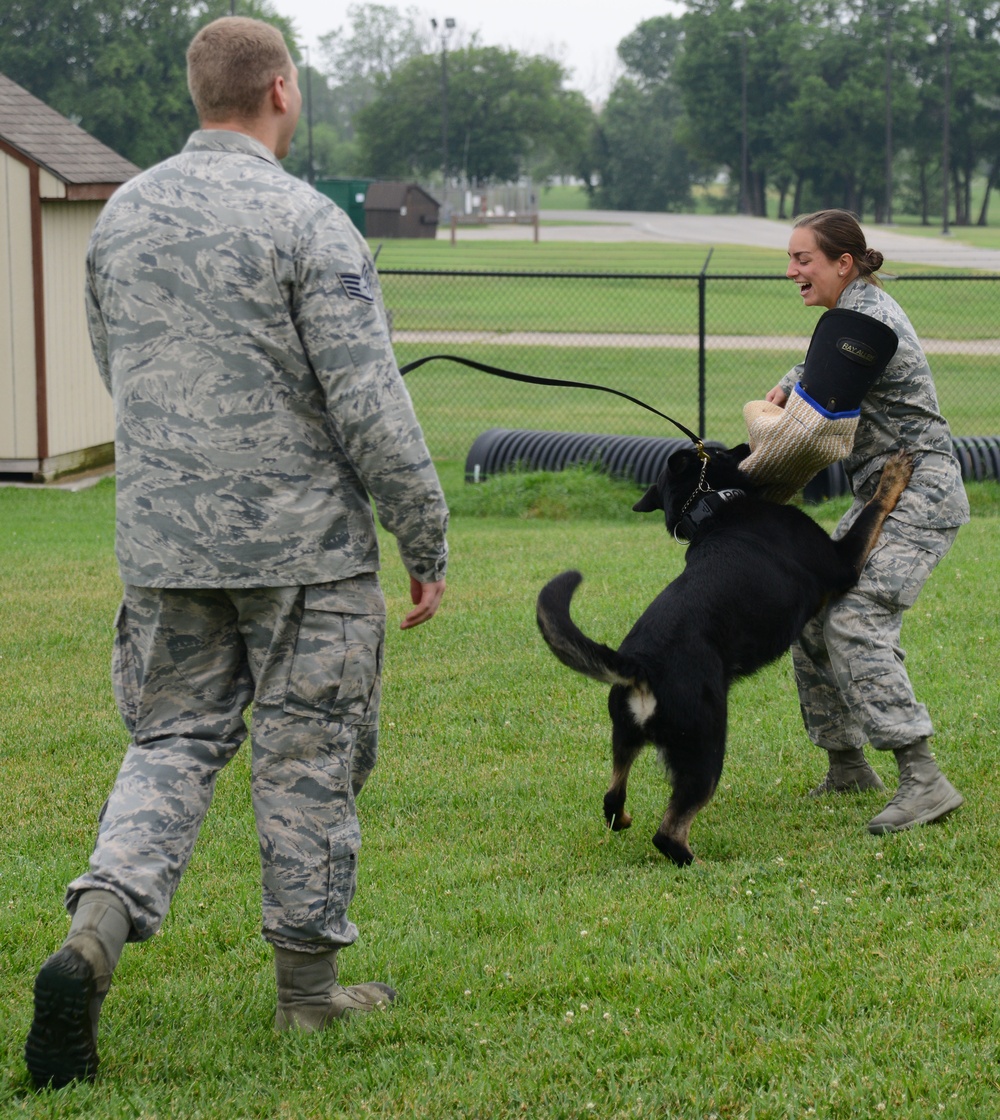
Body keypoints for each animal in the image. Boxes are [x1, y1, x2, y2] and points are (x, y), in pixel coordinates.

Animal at [537, 441, 913, 860]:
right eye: (716, 450)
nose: (745, 445)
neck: (711, 507)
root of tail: (638, 665)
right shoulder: (844, 561)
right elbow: (873, 510)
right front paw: (893, 474)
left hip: (625, 737)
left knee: (612, 798)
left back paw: (626, 818)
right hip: (705, 744)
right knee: (669, 831)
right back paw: (698, 862)